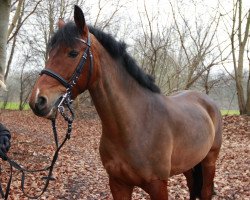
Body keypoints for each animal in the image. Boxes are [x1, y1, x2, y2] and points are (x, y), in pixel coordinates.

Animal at [28, 5, 222, 199]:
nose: (37, 100)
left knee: (205, 191)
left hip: (209, 161)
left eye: (73, 53)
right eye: (50, 53)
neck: (134, 124)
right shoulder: (118, 184)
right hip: (190, 164)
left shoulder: (158, 186)